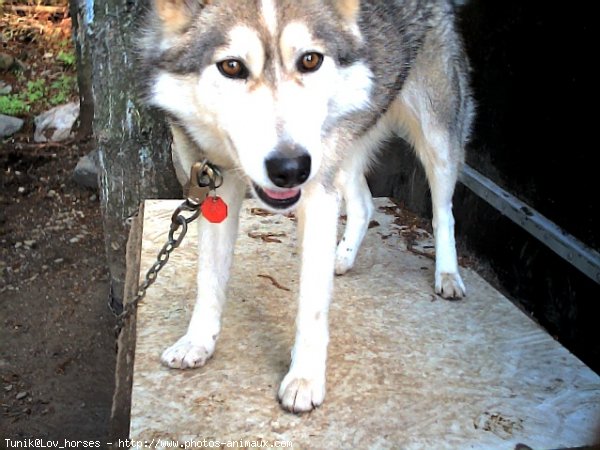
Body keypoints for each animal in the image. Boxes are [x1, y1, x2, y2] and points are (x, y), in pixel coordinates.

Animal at [139, 0, 474, 412]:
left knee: (444, 213)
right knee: (364, 204)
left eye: (310, 60)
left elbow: (312, 304)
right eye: (231, 66)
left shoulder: (316, 195)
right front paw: (198, 342)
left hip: (434, 143)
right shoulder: (217, 189)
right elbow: (209, 279)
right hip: (341, 159)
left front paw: (304, 380)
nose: (291, 168)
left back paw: (447, 275)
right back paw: (342, 257)